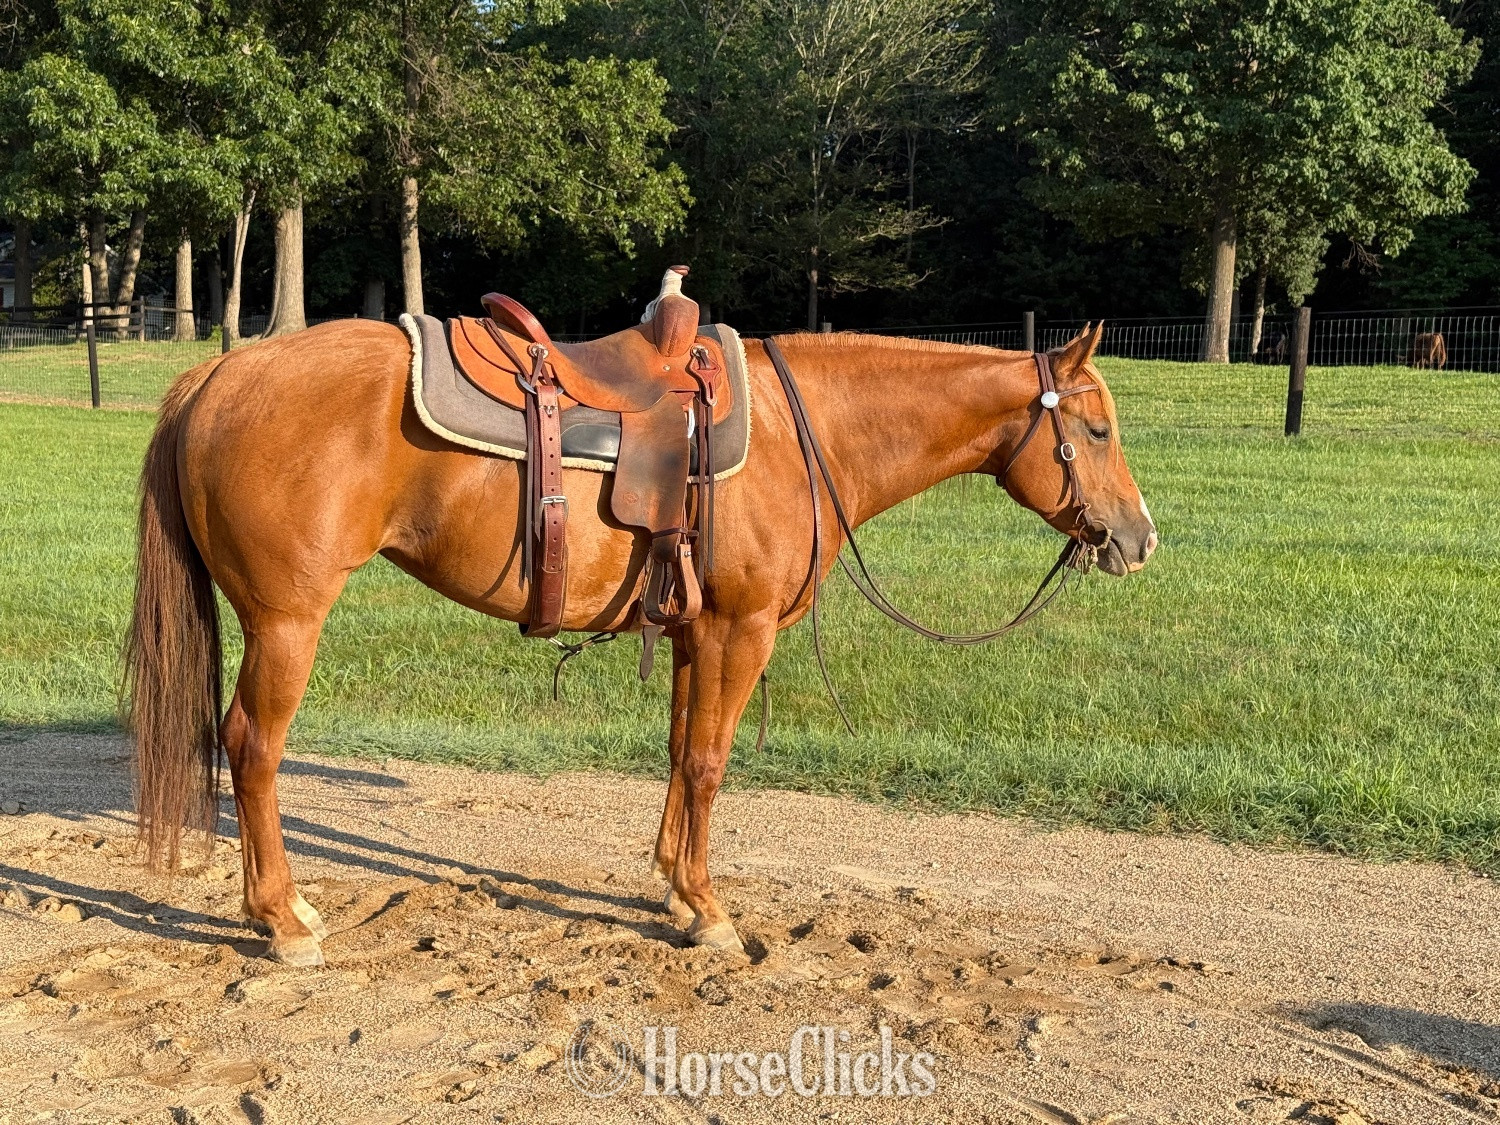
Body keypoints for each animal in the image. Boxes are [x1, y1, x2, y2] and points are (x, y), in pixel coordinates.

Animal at [125, 319, 1157, 966]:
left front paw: (670, 884)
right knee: (252, 746)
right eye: (1098, 428)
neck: (804, 433)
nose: (1141, 539)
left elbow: (676, 750)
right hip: (287, 622)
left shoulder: (697, 627)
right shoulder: (739, 629)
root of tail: (219, 374)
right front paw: (708, 910)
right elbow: (709, 760)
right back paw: (281, 919)